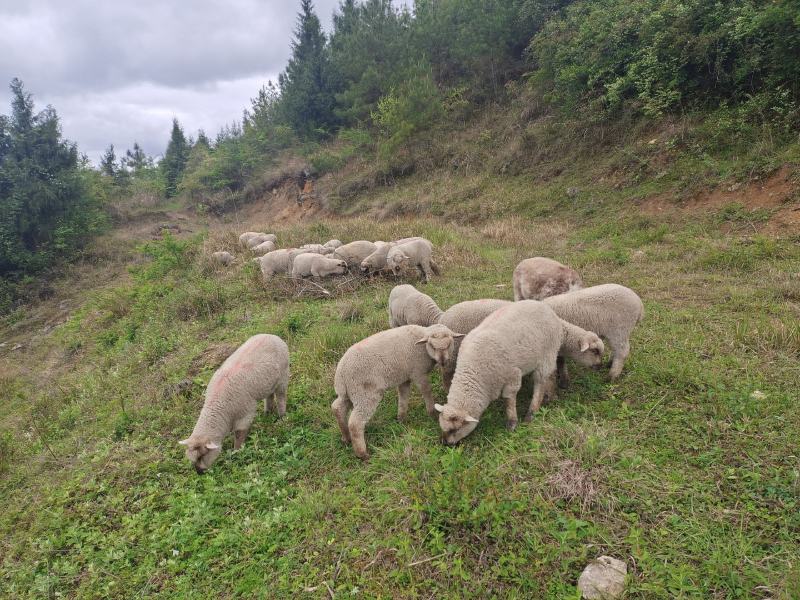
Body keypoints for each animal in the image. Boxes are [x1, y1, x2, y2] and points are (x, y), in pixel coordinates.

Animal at [332, 324, 466, 460]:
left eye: (449, 344)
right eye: (432, 345)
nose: (443, 361)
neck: (422, 346)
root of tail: (341, 373)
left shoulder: (405, 378)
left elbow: (403, 396)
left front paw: (401, 419)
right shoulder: (418, 372)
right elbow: (426, 391)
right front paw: (432, 413)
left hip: (349, 393)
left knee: (337, 408)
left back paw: (346, 437)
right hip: (365, 394)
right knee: (355, 423)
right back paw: (362, 454)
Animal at [434, 300, 604, 446]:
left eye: (455, 429)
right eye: (595, 351)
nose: (445, 444)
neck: (475, 372)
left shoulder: (513, 376)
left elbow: (509, 399)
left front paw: (512, 423)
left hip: (545, 355)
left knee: (540, 382)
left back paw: (532, 412)